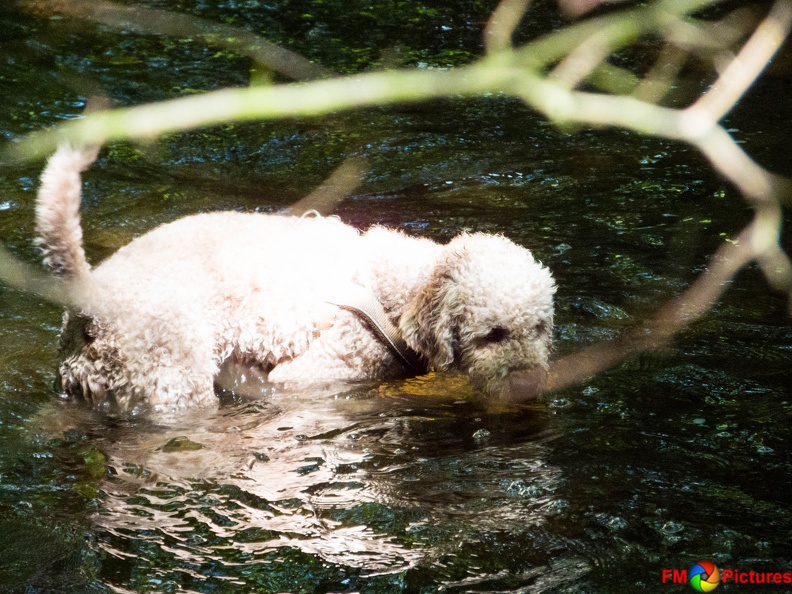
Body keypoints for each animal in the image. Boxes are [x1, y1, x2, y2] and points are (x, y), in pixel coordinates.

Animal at [35, 146, 556, 410]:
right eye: (492, 334)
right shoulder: (313, 373)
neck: (399, 289)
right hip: (174, 386)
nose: (532, 384)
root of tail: (90, 297)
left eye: (540, 328)